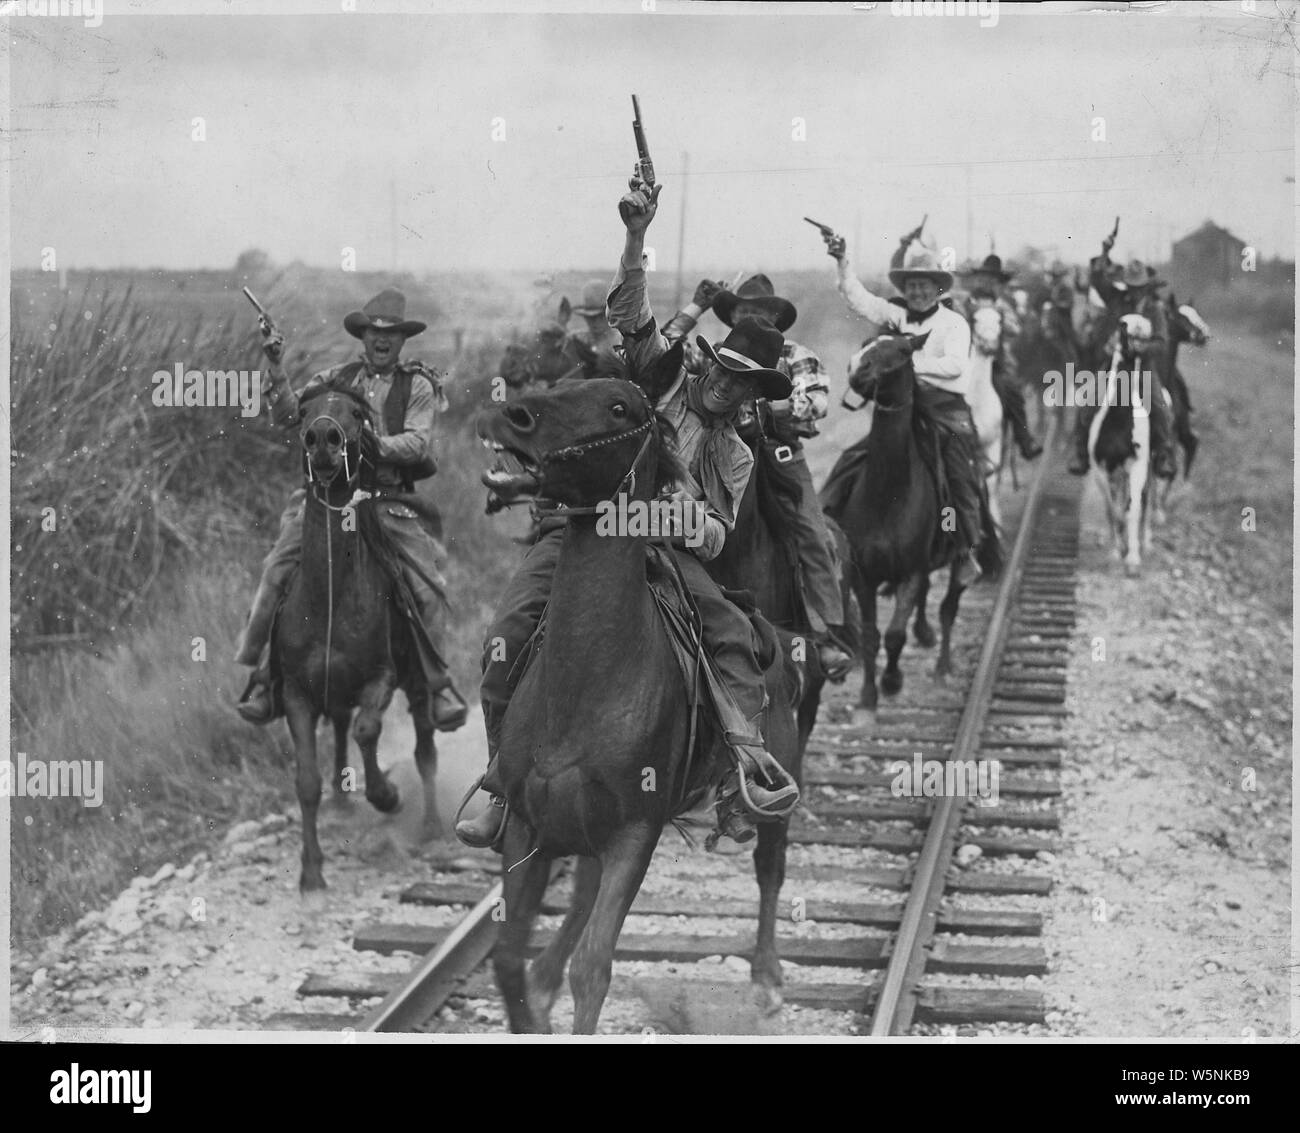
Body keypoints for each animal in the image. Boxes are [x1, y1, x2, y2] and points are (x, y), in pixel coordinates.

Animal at [275, 389, 441, 893]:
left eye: (355, 414)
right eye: (303, 413)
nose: (322, 440)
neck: (329, 596)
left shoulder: (381, 678)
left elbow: (369, 731)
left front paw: (387, 795)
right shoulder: (296, 694)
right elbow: (306, 781)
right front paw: (311, 871)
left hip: (419, 682)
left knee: (425, 746)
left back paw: (431, 825)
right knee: (343, 728)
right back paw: (342, 800)